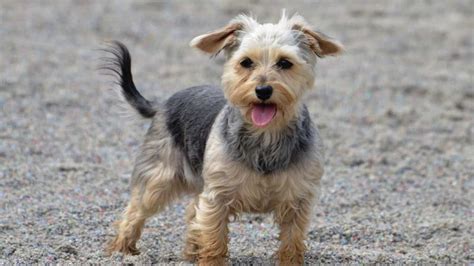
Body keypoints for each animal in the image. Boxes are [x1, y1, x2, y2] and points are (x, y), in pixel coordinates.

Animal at [103, 11, 342, 264]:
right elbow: (214, 239)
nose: (263, 90)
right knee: (135, 211)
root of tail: (163, 103)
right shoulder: (216, 197)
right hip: (158, 180)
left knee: (191, 212)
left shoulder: (298, 200)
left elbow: (292, 243)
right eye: (246, 62)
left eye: (285, 63)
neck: (265, 137)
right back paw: (122, 249)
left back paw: (190, 252)